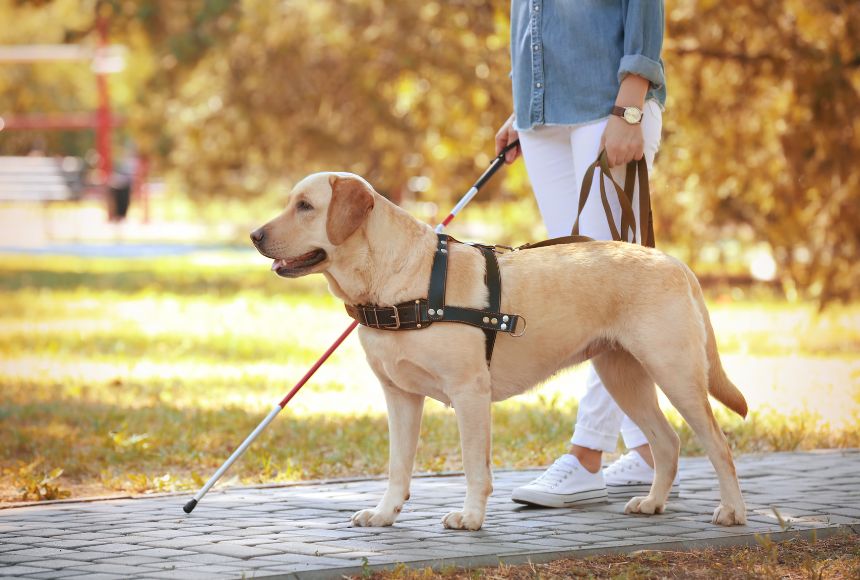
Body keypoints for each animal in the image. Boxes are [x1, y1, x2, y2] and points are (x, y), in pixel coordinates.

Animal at [252, 171, 748, 532]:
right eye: (291, 202)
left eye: (305, 206)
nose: (255, 235)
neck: (397, 281)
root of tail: (674, 261)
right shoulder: (400, 396)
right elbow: (398, 467)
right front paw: (385, 513)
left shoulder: (469, 393)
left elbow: (475, 466)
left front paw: (471, 518)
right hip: (622, 376)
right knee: (667, 442)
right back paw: (653, 503)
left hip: (675, 373)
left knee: (718, 444)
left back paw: (732, 511)